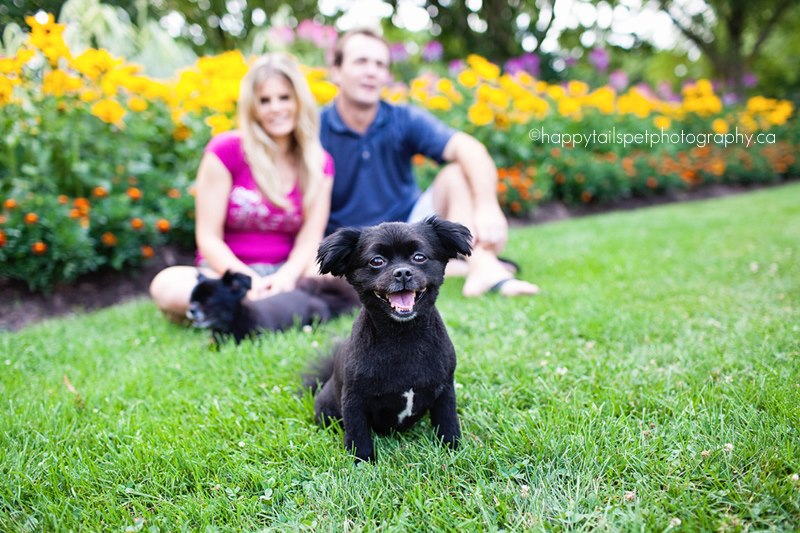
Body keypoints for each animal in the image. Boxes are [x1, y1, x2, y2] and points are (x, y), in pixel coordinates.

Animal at [304, 216, 472, 462]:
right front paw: (362, 462)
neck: (403, 336)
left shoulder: (444, 389)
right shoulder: (354, 399)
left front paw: (452, 449)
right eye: (377, 261)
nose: (402, 272)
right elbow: (358, 434)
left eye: (419, 257)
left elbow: (447, 422)